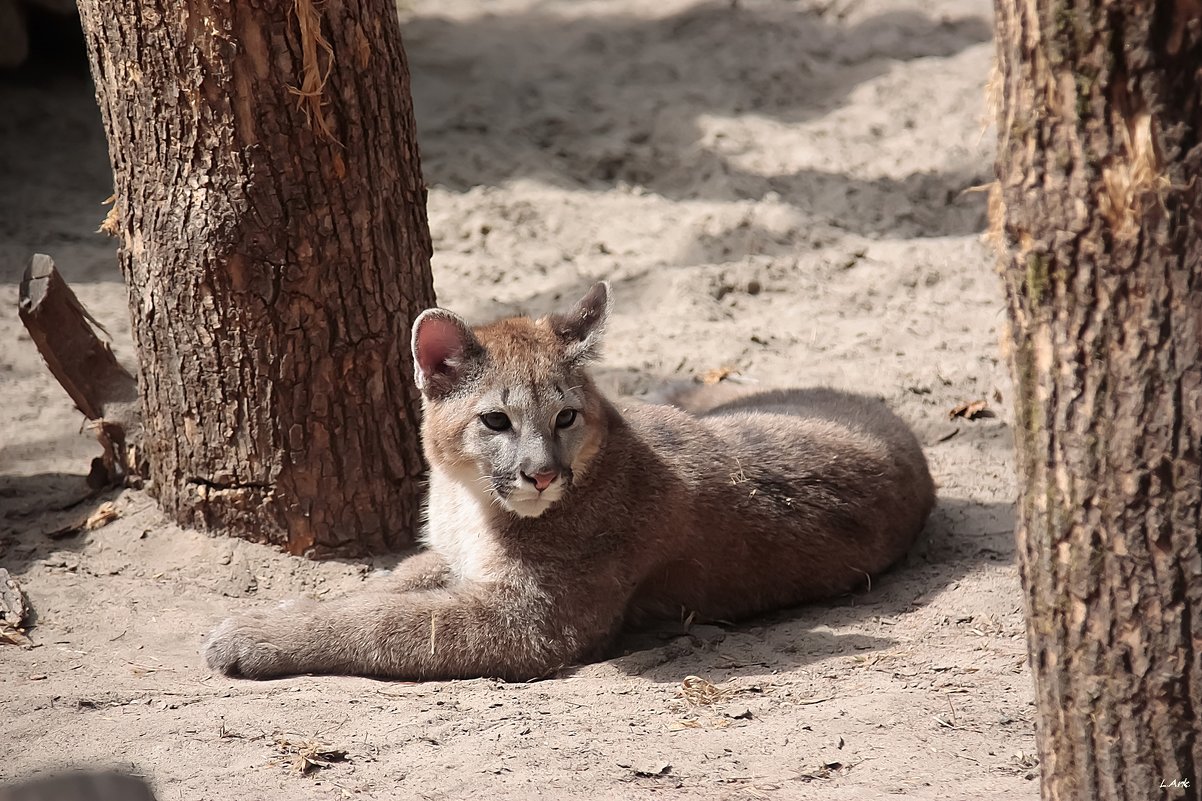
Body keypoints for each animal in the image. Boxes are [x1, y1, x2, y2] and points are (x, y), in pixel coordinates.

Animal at [206, 283, 932, 678]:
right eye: (495, 420)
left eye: (565, 417)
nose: (543, 474)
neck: (466, 497)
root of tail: (891, 419)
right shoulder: (453, 557)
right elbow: (385, 586)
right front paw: (283, 611)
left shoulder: (532, 620)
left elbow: (388, 622)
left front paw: (250, 637)